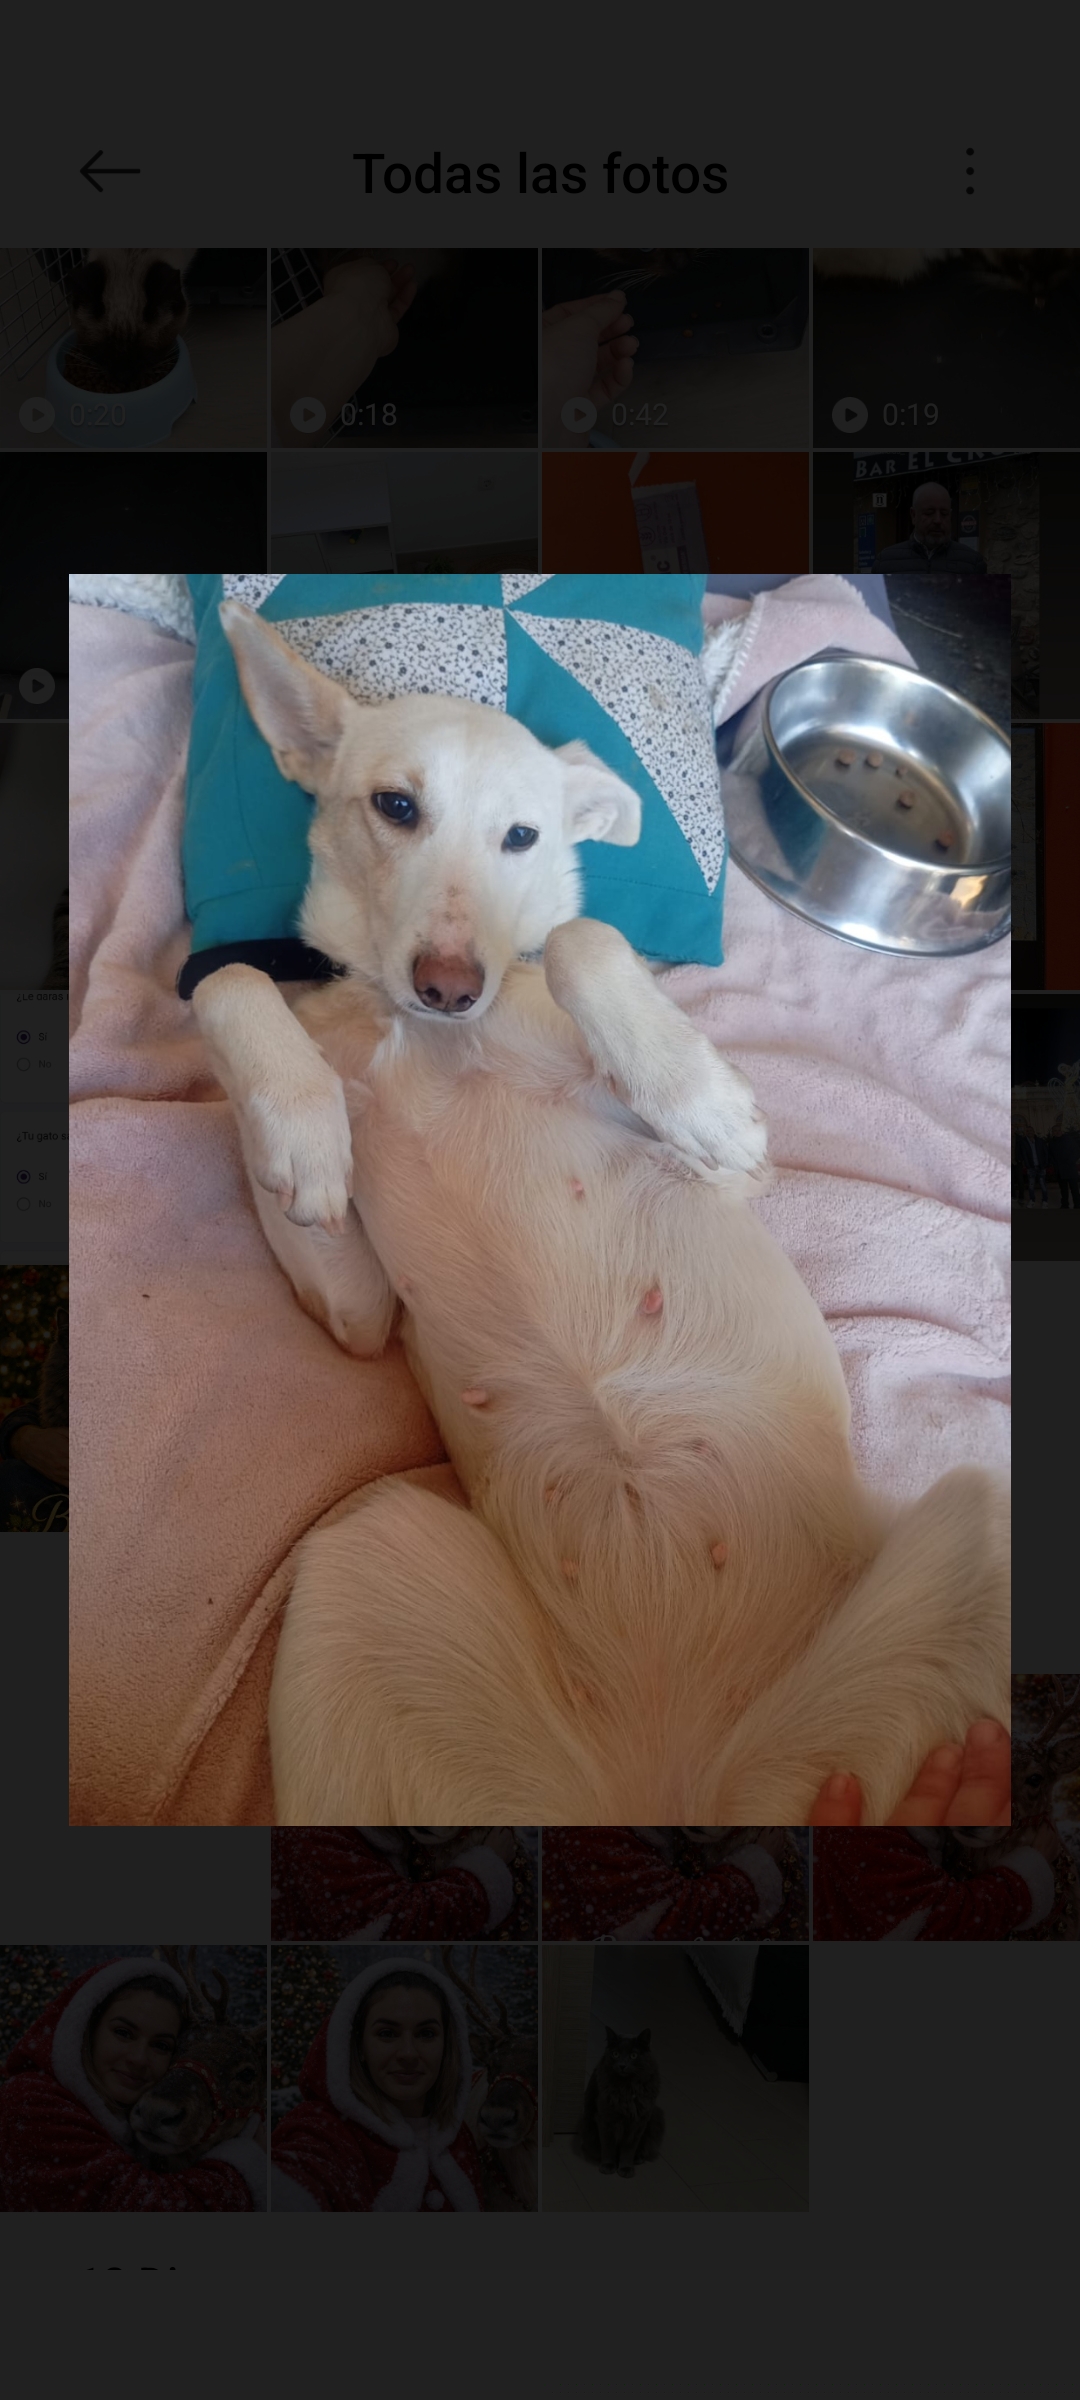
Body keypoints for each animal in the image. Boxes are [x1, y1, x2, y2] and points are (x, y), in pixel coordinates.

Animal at [192, 600, 1010, 1827]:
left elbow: (585, 942)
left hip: (978, 1534)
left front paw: (703, 1095)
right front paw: (299, 1128)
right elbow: (231, 988)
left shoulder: (723, 1180)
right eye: (395, 805)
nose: (448, 983)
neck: (433, 1037)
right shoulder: (354, 1313)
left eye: (524, 837)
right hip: (363, 1549)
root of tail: (672, 1804)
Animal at [579, 2027, 664, 2178]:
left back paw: (637, 2158)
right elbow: (608, 2146)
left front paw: (625, 2168)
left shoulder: (637, 2123)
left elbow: (628, 2149)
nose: (622, 2065)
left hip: (655, 2117)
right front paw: (608, 2166)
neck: (626, 2089)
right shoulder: (606, 2119)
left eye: (633, 2055)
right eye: (616, 2054)